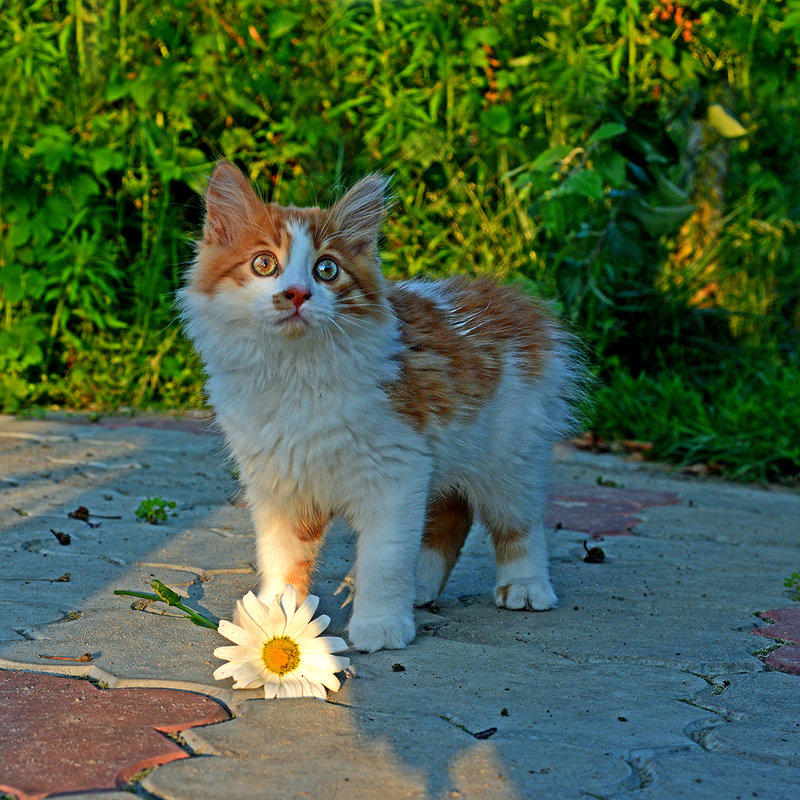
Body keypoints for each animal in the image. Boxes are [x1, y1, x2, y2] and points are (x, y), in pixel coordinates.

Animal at [180, 161, 580, 648]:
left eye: (327, 269)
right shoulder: (280, 482)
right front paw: (277, 619)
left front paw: (381, 624)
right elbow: (282, 557)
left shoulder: (398, 469)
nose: (296, 293)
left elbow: (384, 558)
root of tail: (511, 296)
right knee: (453, 512)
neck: (297, 373)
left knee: (517, 521)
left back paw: (524, 585)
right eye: (264, 264)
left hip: (508, 455)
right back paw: (421, 585)